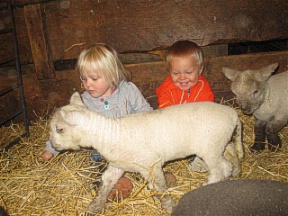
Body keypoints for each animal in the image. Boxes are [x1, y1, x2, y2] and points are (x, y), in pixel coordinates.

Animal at [49, 91, 243, 214]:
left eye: (60, 129)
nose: (53, 144)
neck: (111, 134)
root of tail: (233, 114)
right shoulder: (118, 165)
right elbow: (107, 183)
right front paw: (96, 205)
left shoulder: (151, 165)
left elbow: (159, 187)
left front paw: (169, 206)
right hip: (221, 143)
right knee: (231, 154)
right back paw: (235, 172)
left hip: (210, 147)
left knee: (219, 170)